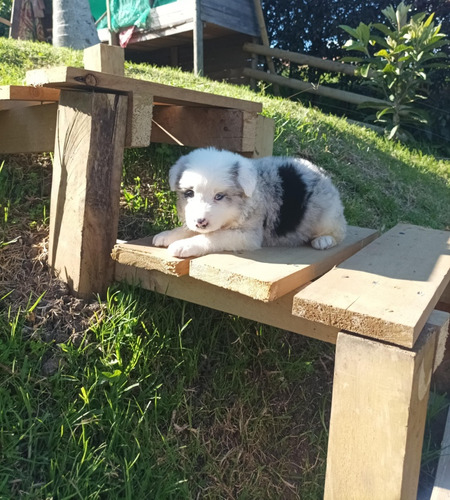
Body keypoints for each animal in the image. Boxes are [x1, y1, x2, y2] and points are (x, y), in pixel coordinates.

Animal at [153, 147, 346, 258]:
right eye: (189, 193)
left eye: (219, 196)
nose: (201, 222)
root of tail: (321, 172)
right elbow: (192, 230)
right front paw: (169, 235)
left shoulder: (249, 234)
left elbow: (214, 236)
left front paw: (183, 245)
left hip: (327, 215)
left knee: (339, 232)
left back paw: (324, 240)